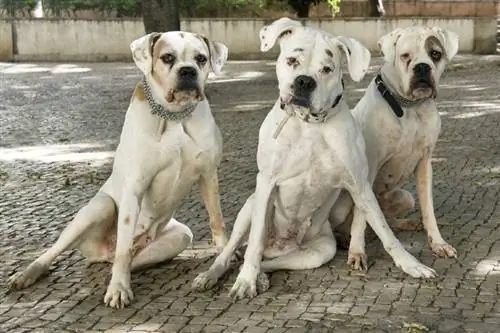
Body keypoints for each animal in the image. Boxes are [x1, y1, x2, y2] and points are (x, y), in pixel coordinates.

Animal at [8, 30, 229, 306]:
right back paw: (30, 273)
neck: (174, 115)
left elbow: (216, 218)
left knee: (126, 258)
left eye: (201, 58)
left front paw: (224, 256)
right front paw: (119, 290)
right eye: (167, 57)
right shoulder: (135, 186)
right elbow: (124, 246)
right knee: (78, 251)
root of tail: (104, 251)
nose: (187, 71)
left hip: (179, 236)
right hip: (98, 208)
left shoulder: (208, 174)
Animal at [193, 18, 436, 298]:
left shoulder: (360, 186)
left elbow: (384, 230)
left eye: (327, 69)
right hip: (250, 208)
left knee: (270, 262)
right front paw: (245, 281)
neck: (309, 125)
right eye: (292, 61)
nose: (304, 82)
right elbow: (253, 243)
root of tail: (279, 245)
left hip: (319, 252)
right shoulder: (266, 183)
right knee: (235, 252)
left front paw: (411, 264)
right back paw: (213, 274)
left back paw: (262, 276)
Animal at [332, 25, 460, 270]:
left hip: (404, 198)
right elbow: (360, 218)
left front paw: (438, 243)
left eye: (435, 54)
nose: (422, 67)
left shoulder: (425, 164)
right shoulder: (368, 168)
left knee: (384, 221)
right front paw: (357, 252)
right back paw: (343, 239)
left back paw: (405, 223)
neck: (408, 107)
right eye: (405, 56)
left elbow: (428, 209)